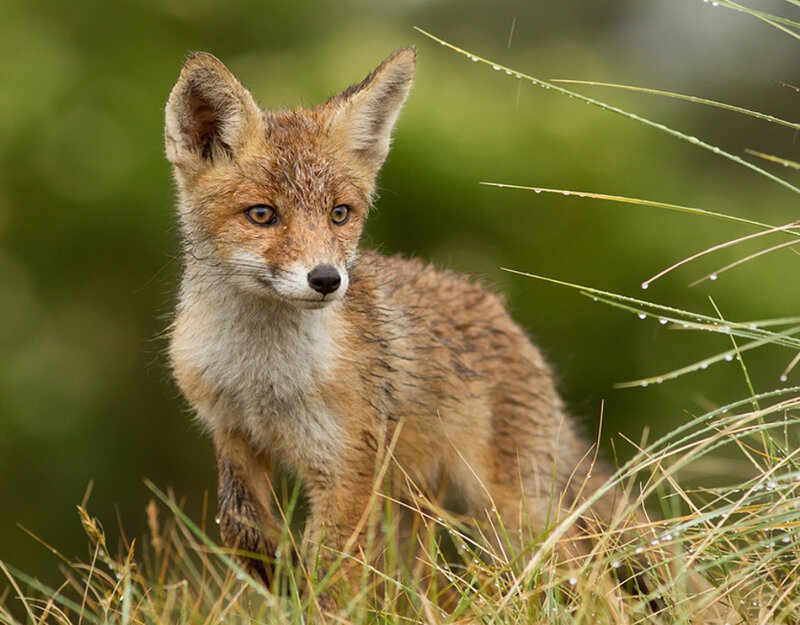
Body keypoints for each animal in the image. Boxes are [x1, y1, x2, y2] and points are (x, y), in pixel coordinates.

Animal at [163, 47, 660, 609]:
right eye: (262, 214)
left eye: (340, 214)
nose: (326, 279)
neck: (263, 377)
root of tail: (505, 317)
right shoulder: (232, 434)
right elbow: (241, 526)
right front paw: (281, 579)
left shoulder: (348, 466)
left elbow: (333, 573)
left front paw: (316, 603)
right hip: (421, 509)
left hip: (509, 515)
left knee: (592, 583)